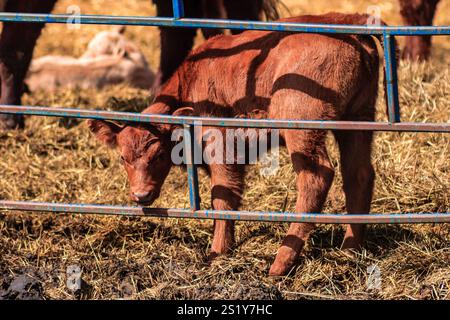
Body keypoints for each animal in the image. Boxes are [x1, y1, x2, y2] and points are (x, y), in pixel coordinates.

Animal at [89, 12, 388, 276]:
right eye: (123, 158)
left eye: (160, 154)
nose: (141, 195)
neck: (191, 82)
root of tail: (347, 22)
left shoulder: (221, 147)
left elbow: (222, 196)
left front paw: (217, 252)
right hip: (358, 120)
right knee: (358, 174)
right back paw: (349, 250)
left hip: (302, 128)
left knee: (316, 177)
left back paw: (281, 263)